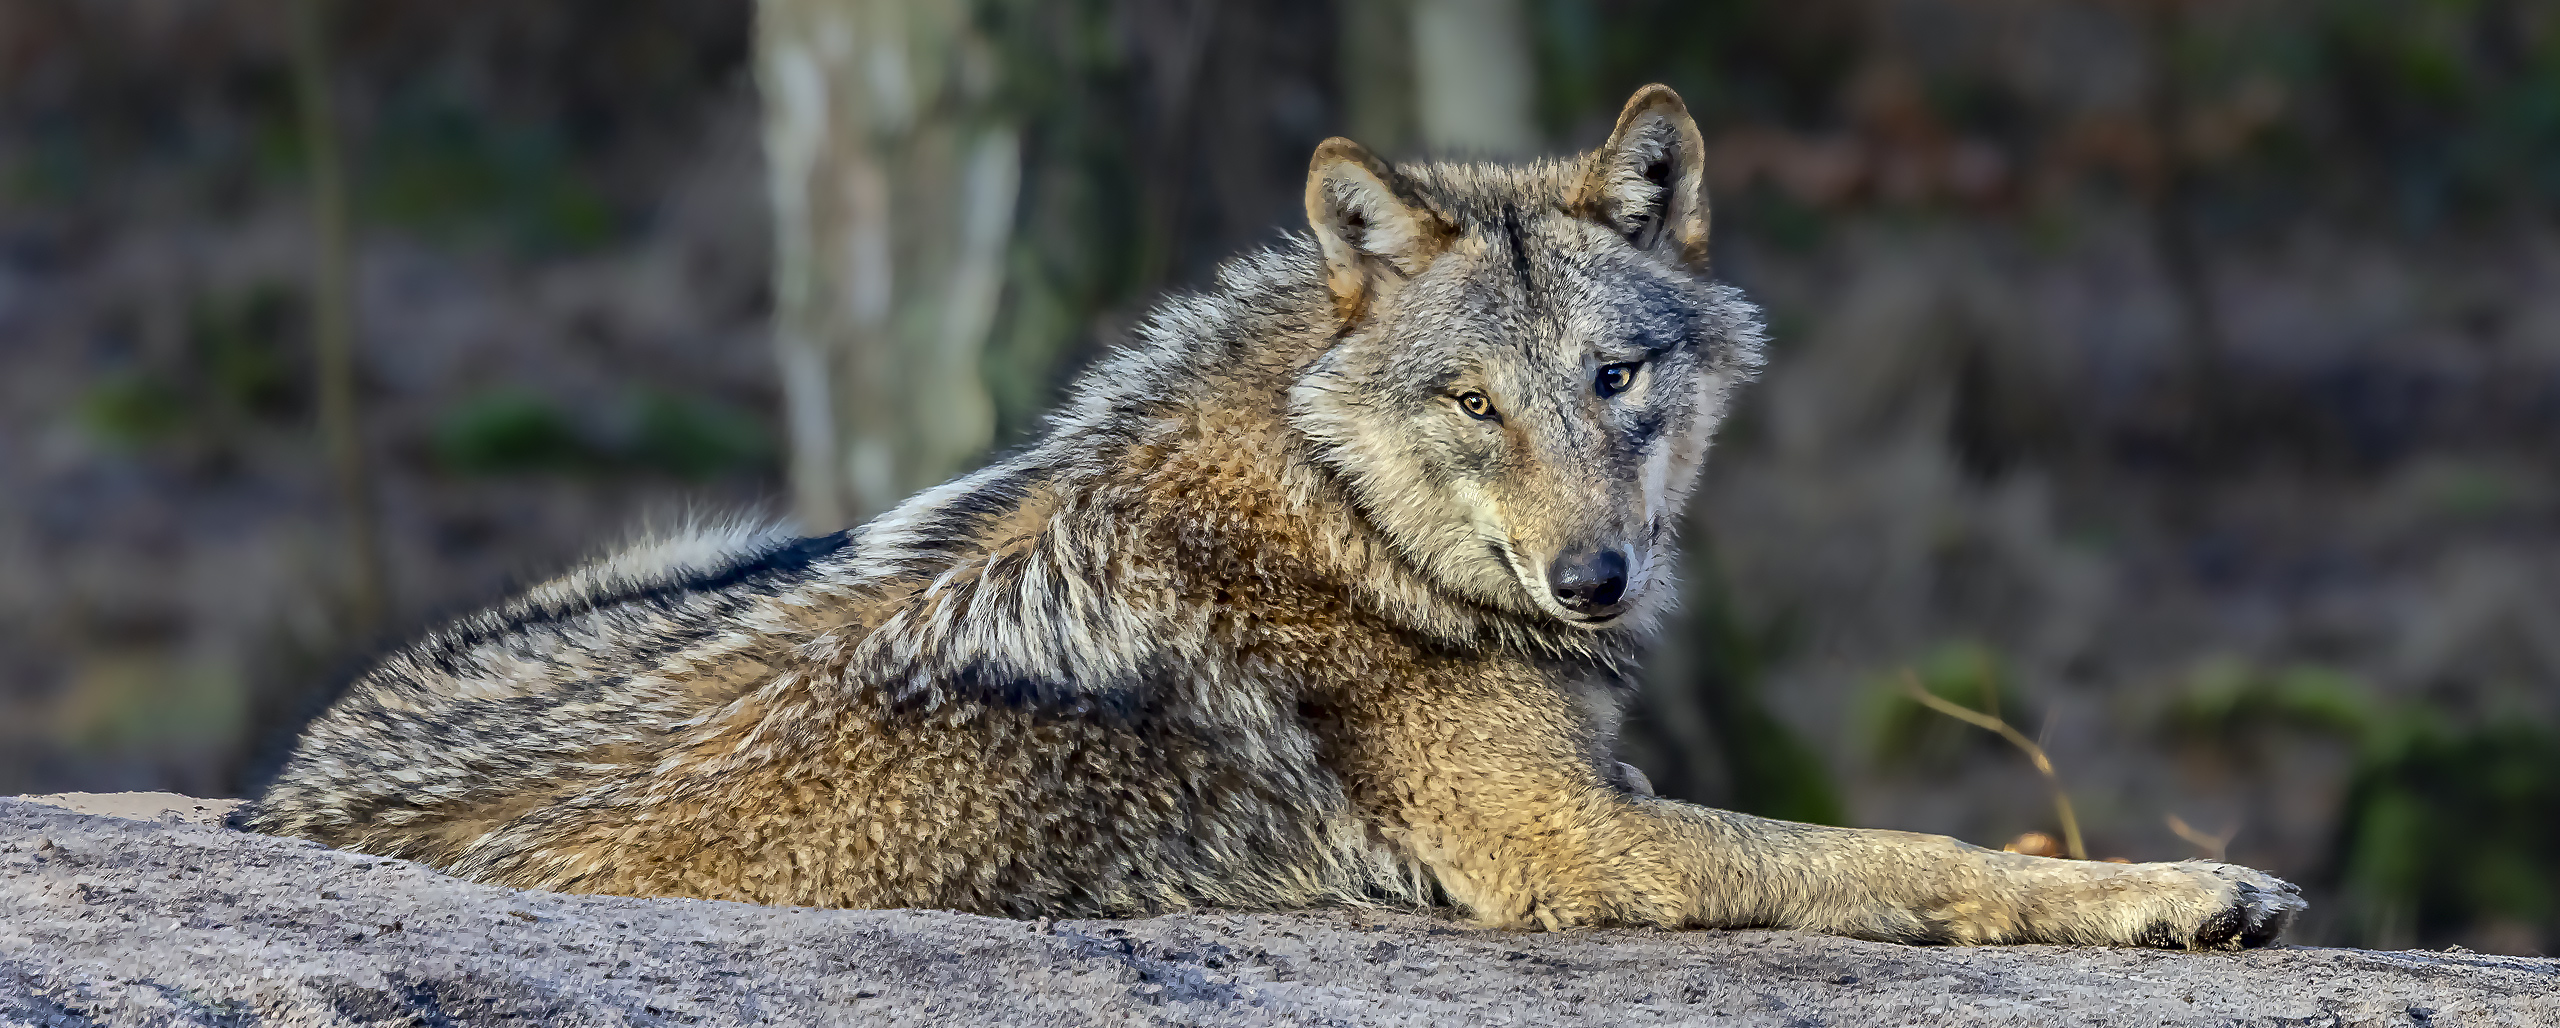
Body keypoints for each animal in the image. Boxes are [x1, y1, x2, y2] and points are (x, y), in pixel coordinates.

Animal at [244, 88, 2304, 946]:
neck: (1345, 511)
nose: (1594, 577)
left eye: (1615, 380)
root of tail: (281, 787)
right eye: (1474, 402)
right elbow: (1916, 851)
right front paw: (2182, 891)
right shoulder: (1575, 846)